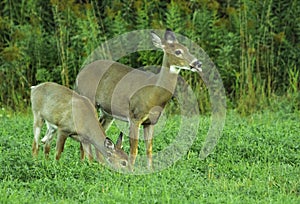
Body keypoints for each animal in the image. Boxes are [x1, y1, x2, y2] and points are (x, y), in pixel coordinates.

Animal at [76, 28, 203, 169]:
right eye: (178, 51)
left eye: (187, 48)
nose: (198, 63)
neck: (154, 93)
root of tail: (79, 74)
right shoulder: (134, 116)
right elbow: (134, 149)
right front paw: (131, 170)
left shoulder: (150, 122)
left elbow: (149, 149)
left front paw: (150, 170)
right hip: (89, 98)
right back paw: (84, 163)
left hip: (107, 112)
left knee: (100, 129)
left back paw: (99, 164)